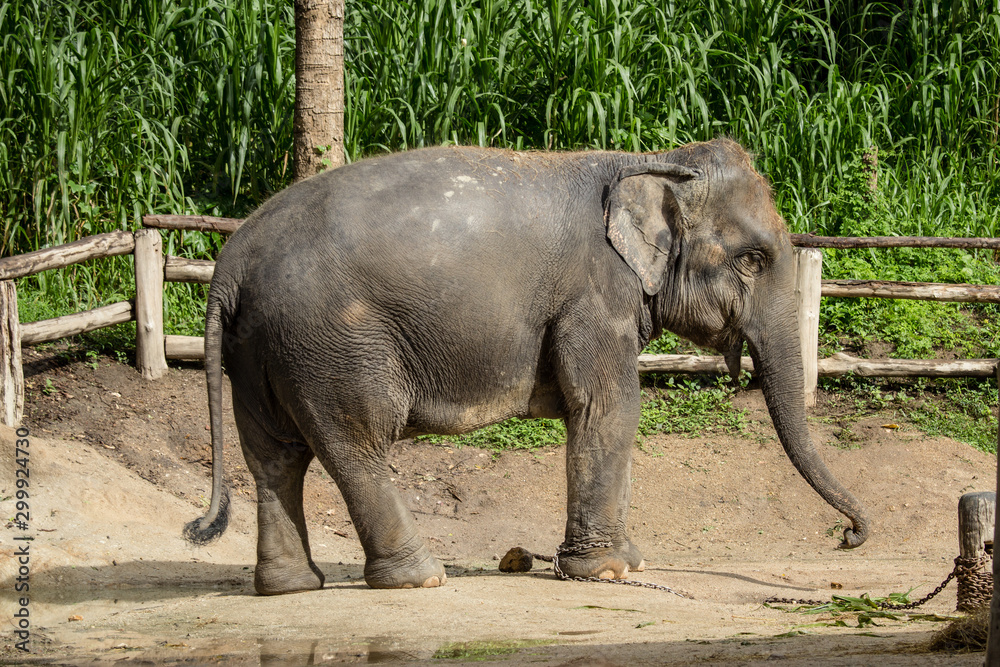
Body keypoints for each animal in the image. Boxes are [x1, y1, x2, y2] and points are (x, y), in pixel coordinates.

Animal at [184, 137, 870, 595]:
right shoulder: (595, 295)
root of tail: (229, 266)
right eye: (753, 260)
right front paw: (609, 571)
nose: (848, 537)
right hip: (330, 343)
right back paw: (421, 579)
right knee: (356, 443)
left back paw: (292, 587)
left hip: (261, 349)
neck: (654, 157)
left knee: (275, 457)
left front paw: (625, 564)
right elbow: (611, 406)